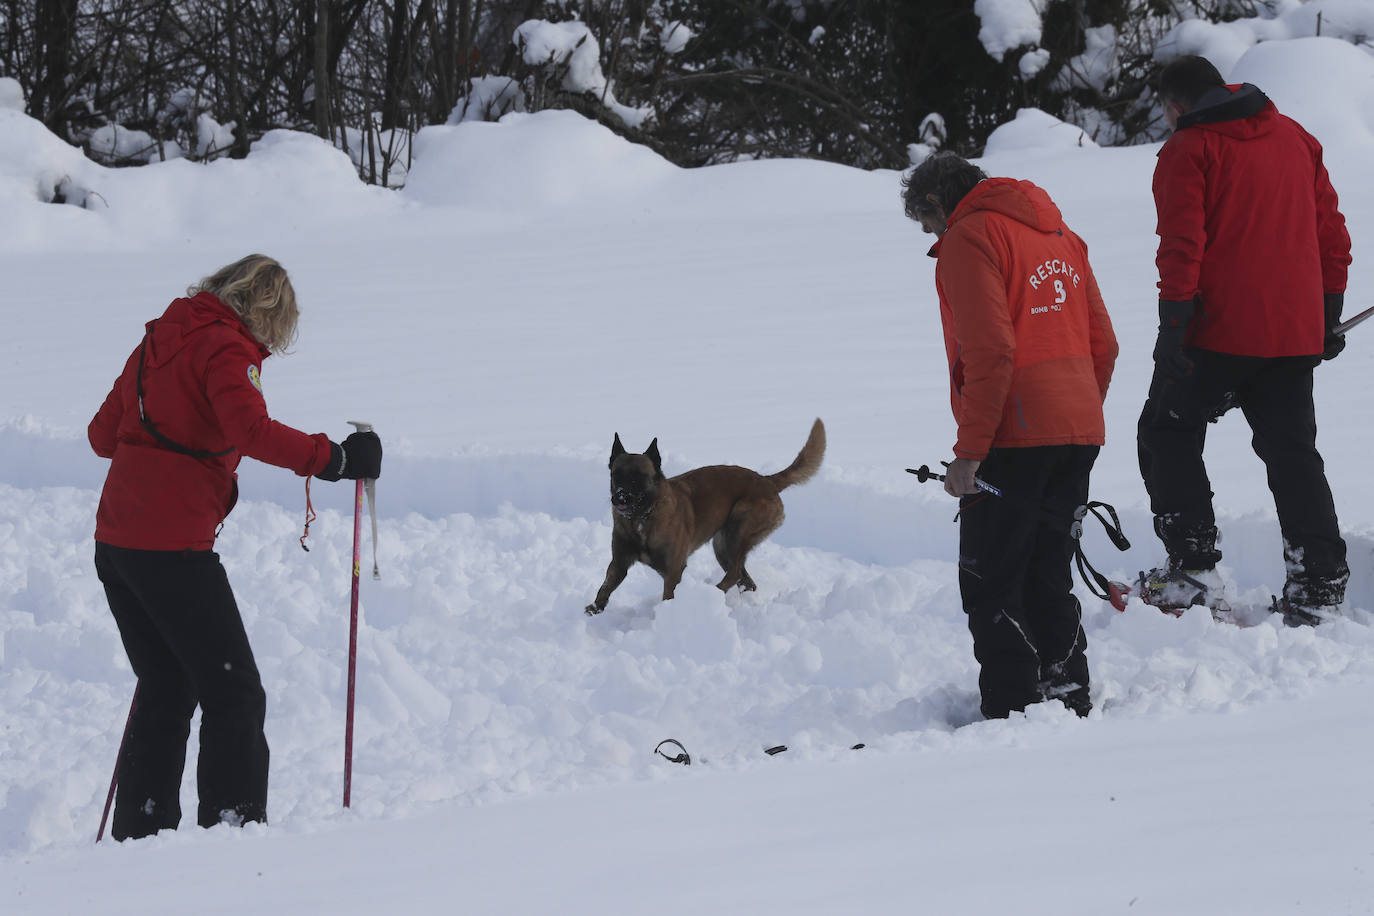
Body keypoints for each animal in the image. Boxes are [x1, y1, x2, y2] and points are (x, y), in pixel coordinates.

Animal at [582, 420, 824, 615]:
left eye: (638, 477)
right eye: (616, 475)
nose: (619, 497)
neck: (642, 519)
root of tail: (767, 481)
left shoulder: (673, 570)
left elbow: (668, 595)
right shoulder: (619, 562)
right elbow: (605, 586)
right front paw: (595, 609)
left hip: (738, 529)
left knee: (735, 573)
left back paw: (714, 592)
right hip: (723, 546)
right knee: (744, 578)